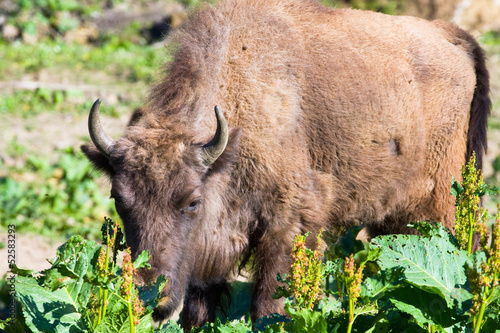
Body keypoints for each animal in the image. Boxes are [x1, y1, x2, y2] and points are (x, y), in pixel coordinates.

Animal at [83, 0, 492, 328]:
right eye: (119, 200)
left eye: (192, 201)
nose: (151, 298)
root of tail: (451, 35)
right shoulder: (208, 264)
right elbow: (198, 313)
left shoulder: (289, 227)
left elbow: (269, 308)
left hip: (442, 206)